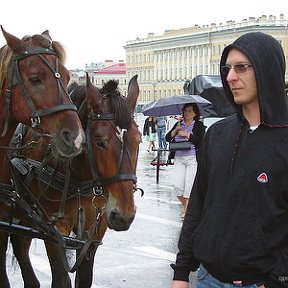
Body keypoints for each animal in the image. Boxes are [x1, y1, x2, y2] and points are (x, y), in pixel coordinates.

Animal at [7, 75, 142, 288]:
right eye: (99, 141)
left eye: (139, 140)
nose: (124, 215)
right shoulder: (54, 231)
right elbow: (61, 280)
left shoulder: (94, 231)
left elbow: (84, 279)